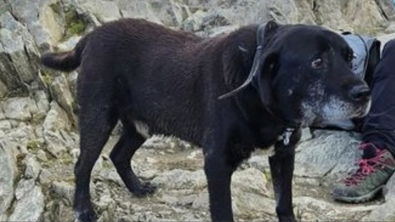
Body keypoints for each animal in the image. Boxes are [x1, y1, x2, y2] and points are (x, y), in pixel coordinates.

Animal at [41, 19, 372, 222]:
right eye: (317, 61)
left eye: (350, 58)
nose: (364, 93)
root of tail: (89, 37)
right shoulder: (217, 163)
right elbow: (223, 212)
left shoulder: (283, 155)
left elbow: (284, 203)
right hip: (98, 118)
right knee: (83, 165)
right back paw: (83, 209)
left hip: (140, 126)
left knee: (118, 154)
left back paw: (137, 188)